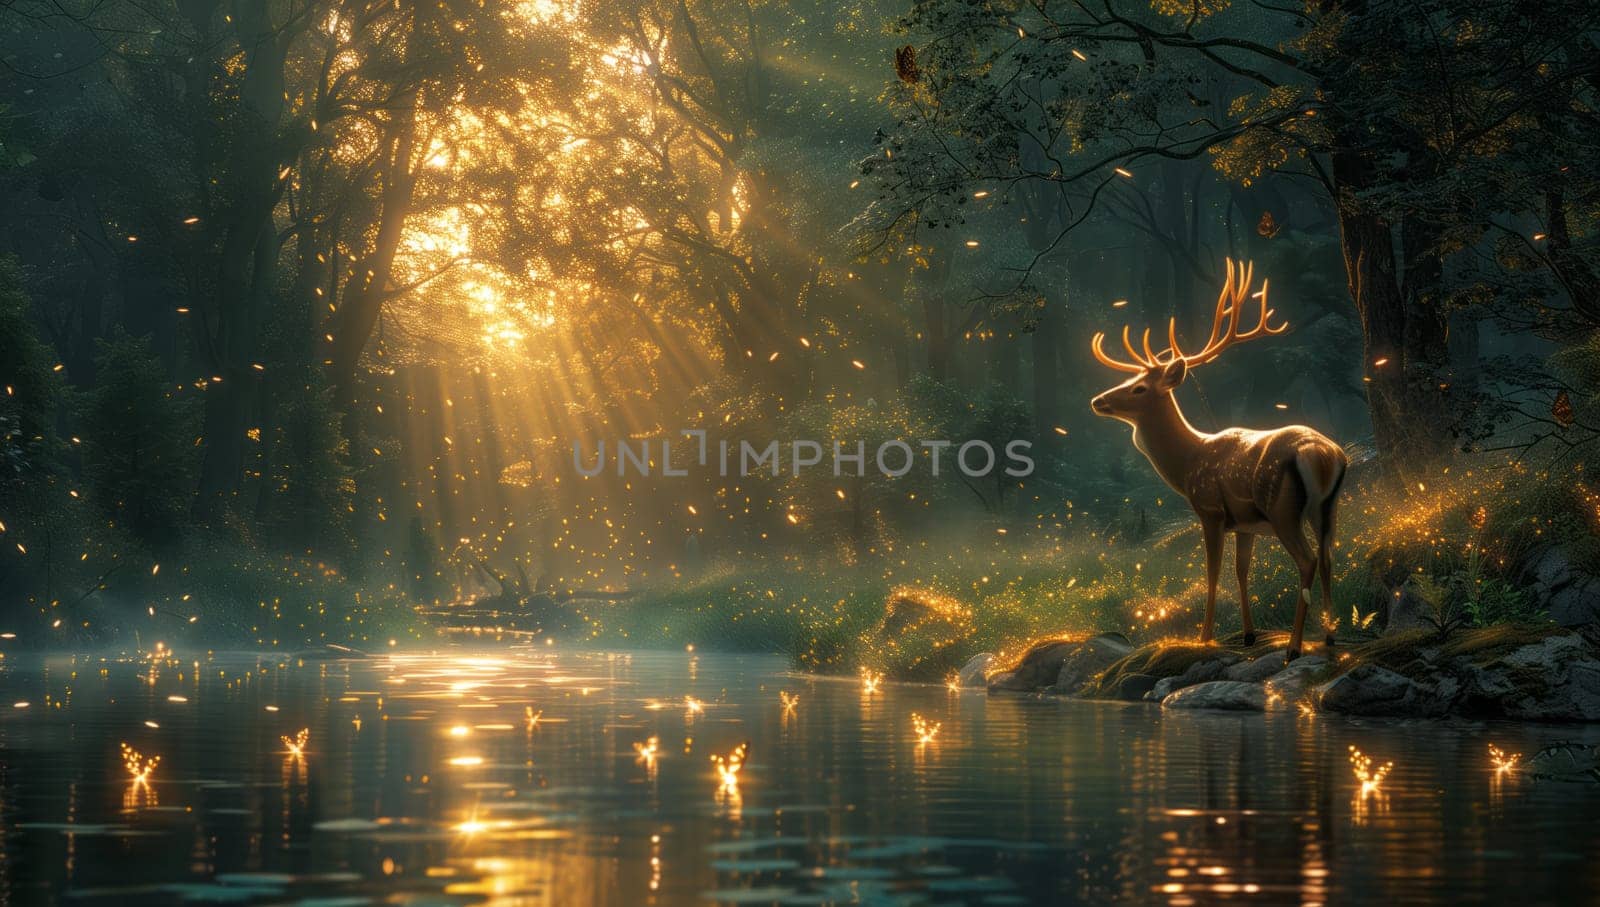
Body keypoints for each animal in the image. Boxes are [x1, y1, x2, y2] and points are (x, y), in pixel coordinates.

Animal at [1094, 259, 1344, 662]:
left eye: (1139, 388)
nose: (1098, 400)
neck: (1187, 462)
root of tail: (1323, 455)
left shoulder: (1210, 510)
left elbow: (1213, 571)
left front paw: (1205, 636)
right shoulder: (1245, 524)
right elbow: (1242, 570)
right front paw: (1248, 635)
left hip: (1283, 508)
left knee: (1306, 560)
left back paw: (1294, 647)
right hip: (1328, 507)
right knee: (1328, 558)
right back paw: (1330, 638)